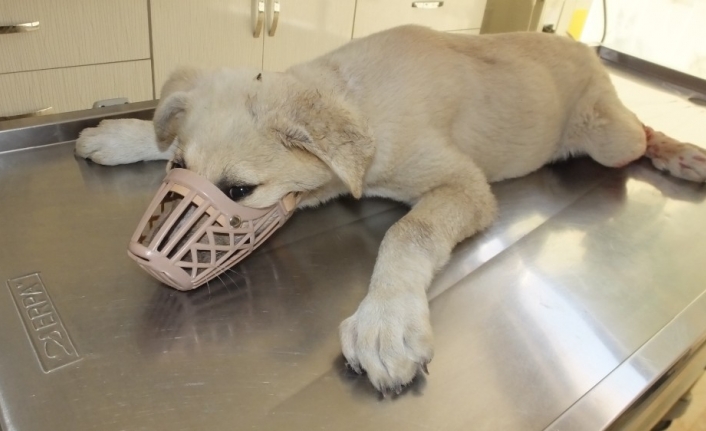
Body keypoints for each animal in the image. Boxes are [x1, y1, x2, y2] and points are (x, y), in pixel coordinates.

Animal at [75, 25, 704, 394]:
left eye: (237, 192)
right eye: (179, 168)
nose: (153, 264)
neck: (353, 92)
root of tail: (580, 44)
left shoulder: (465, 186)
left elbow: (409, 232)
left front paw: (387, 322)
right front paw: (125, 135)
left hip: (610, 138)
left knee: (640, 131)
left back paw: (679, 153)